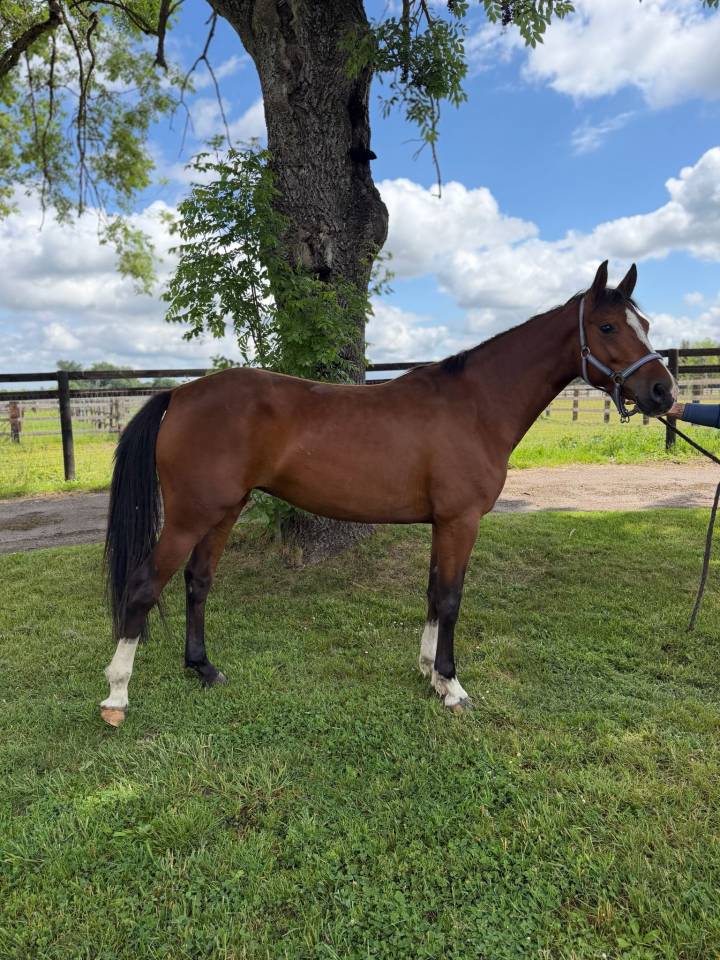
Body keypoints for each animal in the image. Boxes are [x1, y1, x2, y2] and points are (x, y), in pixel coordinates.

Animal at [100, 261, 676, 726]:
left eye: (644, 326)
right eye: (607, 326)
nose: (663, 392)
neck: (475, 405)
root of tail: (180, 394)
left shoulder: (443, 524)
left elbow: (433, 593)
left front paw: (429, 673)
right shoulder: (461, 521)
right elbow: (451, 599)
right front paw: (453, 686)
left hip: (222, 511)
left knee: (198, 583)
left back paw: (203, 668)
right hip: (189, 516)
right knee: (144, 586)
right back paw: (117, 696)